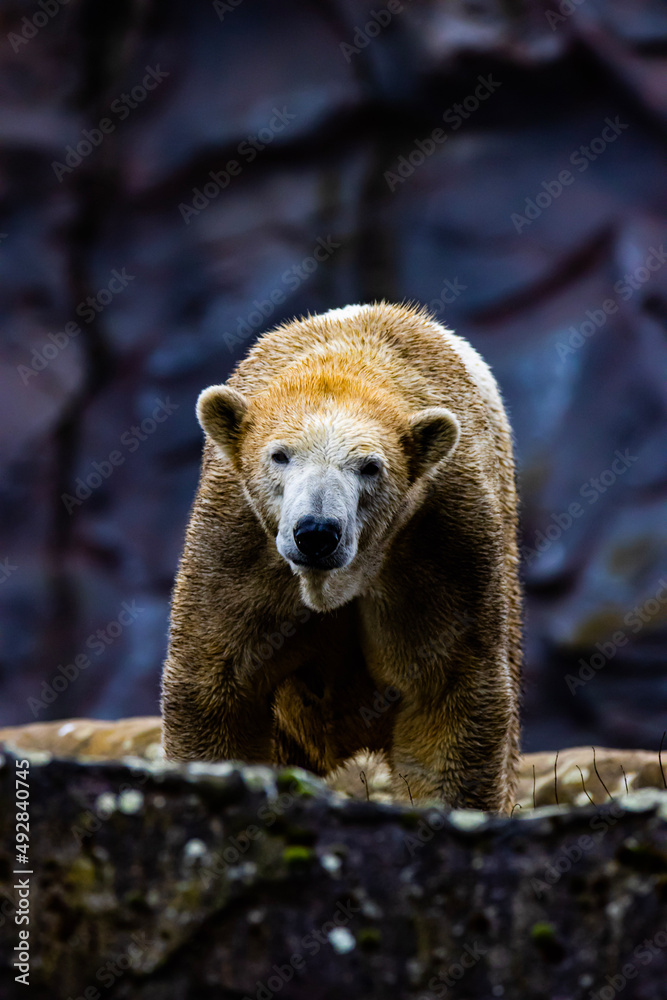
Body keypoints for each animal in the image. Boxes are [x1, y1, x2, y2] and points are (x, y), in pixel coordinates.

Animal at [161, 302, 522, 813]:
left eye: (370, 466)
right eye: (280, 455)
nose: (316, 532)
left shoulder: (439, 538)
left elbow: (447, 692)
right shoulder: (237, 539)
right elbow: (217, 681)